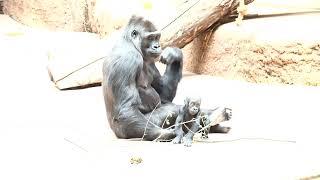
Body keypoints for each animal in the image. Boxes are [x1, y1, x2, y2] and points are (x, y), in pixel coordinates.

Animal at [102, 15, 230, 141]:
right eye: (150, 38)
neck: (130, 43)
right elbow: (126, 110)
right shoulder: (128, 60)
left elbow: (164, 93)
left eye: (157, 37)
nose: (157, 46)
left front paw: (175, 55)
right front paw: (165, 134)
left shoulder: (150, 60)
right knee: (169, 111)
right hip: (127, 131)